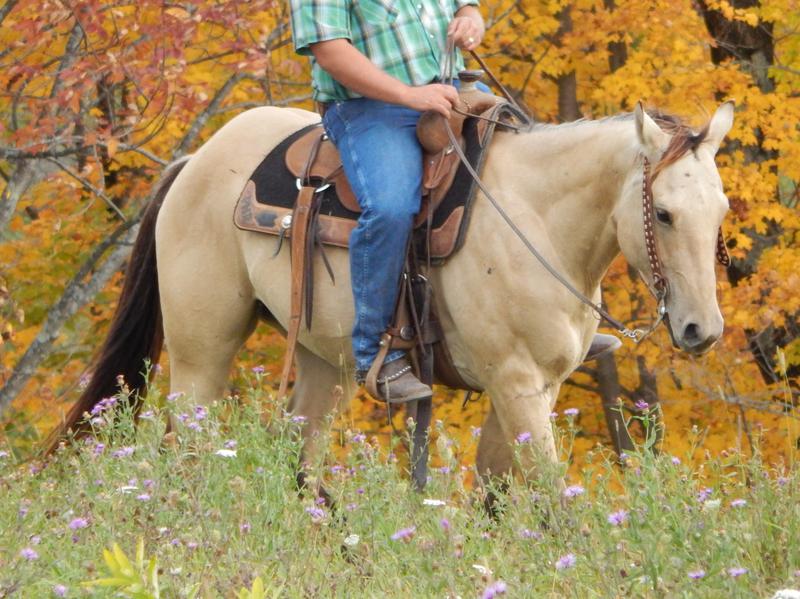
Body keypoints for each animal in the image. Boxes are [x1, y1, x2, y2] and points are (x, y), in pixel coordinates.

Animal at [51, 100, 734, 488]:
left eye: (721, 211)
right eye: (664, 213)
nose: (702, 331)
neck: (534, 219)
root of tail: (195, 161)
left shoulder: (535, 386)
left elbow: (498, 491)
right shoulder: (514, 381)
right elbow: (547, 493)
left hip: (323, 362)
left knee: (301, 459)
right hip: (201, 352)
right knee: (183, 449)